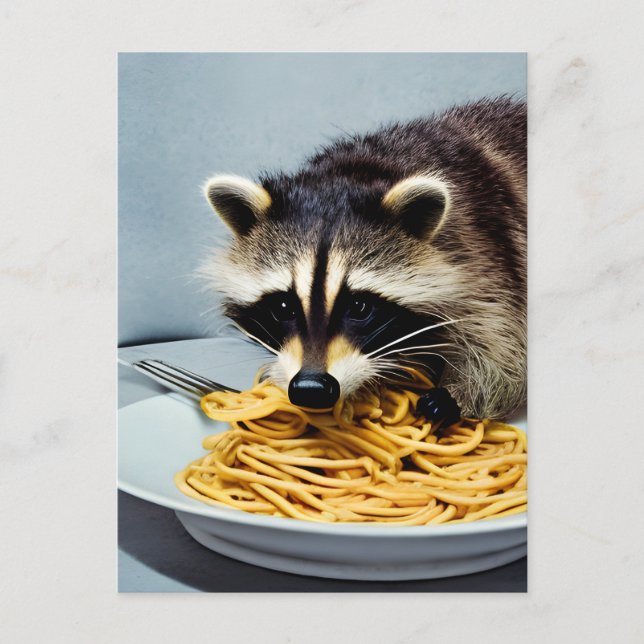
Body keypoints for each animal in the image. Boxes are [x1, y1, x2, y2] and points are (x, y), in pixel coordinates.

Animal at [201, 97, 526, 419]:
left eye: (359, 307)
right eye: (283, 307)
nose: (311, 388)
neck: (352, 171)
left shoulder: (486, 248)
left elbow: (504, 346)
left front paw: (455, 396)